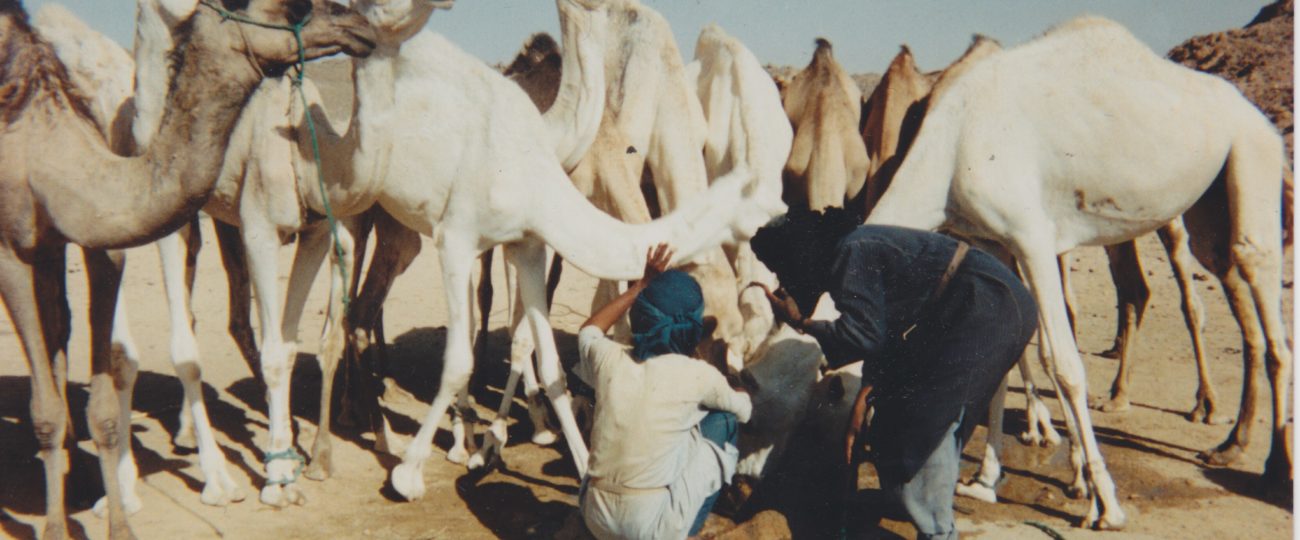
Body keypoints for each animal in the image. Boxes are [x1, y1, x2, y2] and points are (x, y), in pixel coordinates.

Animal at [0, 2, 377, 538]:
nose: (360, 25)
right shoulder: (242, 227)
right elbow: (189, 352)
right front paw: (260, 479)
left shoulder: (313, 229)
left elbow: (289, 343)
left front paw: (301, 456)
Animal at [863, 16, 1289, 528]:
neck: (949, 148)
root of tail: (1255, 114)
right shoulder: (993, 243)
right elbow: (1007, 354)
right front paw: (986, 480)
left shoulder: (1031, 237)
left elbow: (1064, 364)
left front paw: (1103, 503)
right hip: (1210, 204)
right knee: (1228, 278)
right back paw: (1229, 445)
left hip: (1251, 153)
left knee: (1259, 282)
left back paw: (1274, 466)